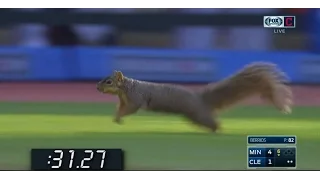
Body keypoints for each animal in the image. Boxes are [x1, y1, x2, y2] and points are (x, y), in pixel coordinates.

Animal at [97, 62, 292, 132]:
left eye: (108, 82)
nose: (97, 87)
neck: (126, 88)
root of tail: (200, 97)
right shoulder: (124, 100)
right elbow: (121, 109)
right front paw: (116, 118)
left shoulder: (135, 98)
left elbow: (131, 109)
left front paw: (119, 118)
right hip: (193, 115)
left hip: (198, 114)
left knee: (213, 122)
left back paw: (217, 130)